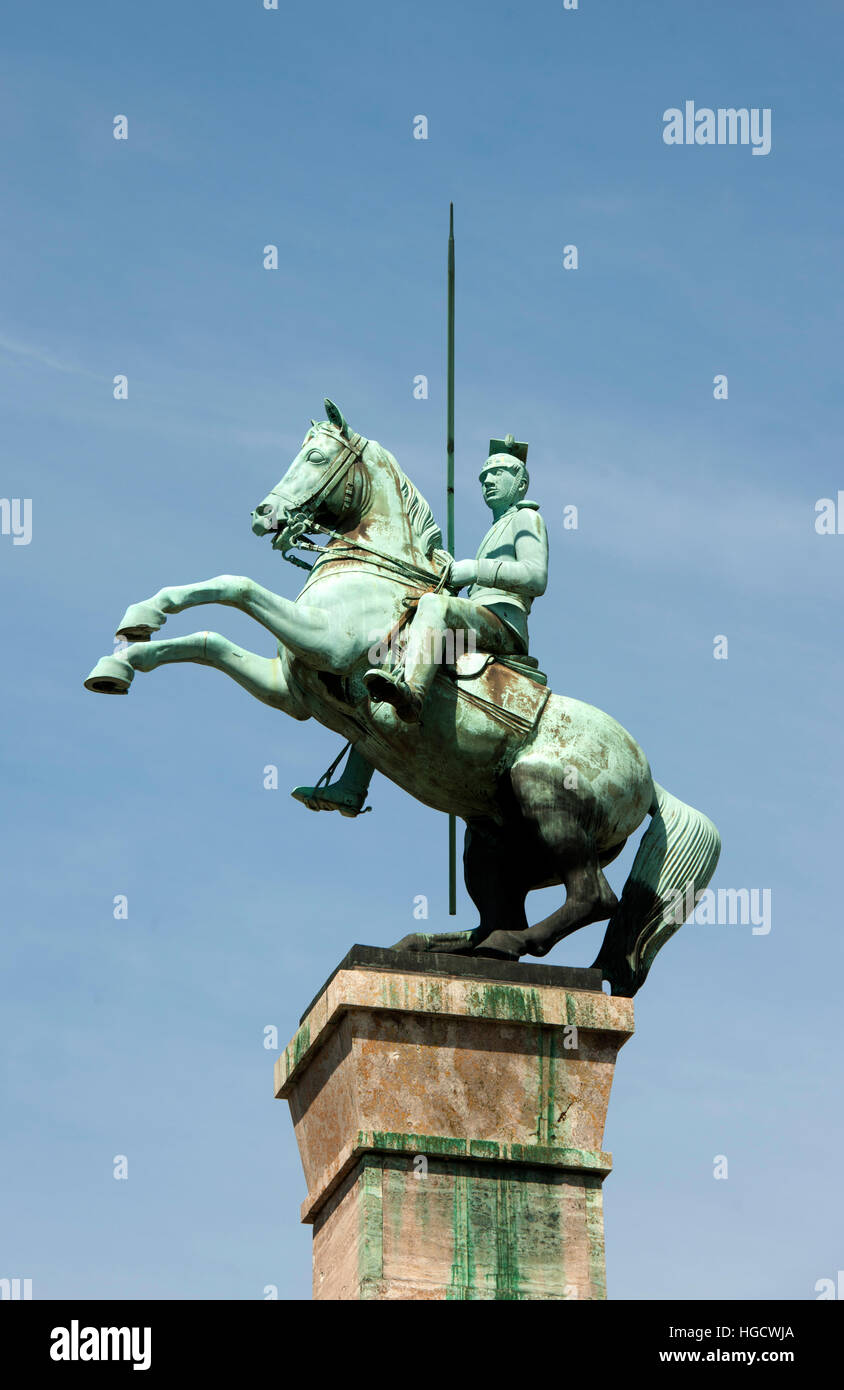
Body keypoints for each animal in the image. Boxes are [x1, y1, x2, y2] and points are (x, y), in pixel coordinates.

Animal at [84, 397, 717, 995]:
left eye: (317, 456)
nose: (265, 514)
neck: (375, 574)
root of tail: (649, 779)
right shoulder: (288, 689)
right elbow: (207, 637)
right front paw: (122, 653)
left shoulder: (326, 641)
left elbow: (233, 586)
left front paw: (138, 625)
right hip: (490, 841)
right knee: (506, 913)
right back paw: (440, 946)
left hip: (545, 800)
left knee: (592, 898)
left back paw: (502, 945)